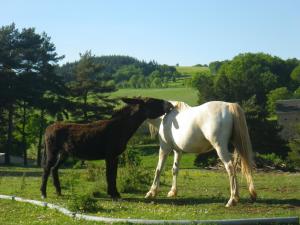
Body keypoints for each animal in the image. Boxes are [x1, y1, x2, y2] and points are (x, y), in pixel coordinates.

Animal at [40, 97, 173, 199]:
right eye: (153, 101)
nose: (171, 105)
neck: (120, 127)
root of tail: (48, 128)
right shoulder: (110, 156)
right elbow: (110, 175)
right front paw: (113, 194)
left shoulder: (115, 157)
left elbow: (113, 175)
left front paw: (114, 193)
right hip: (52, 151)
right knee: (47, 169)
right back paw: (43, 193)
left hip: (64, 153)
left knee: (54, 169)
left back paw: (58, 191)